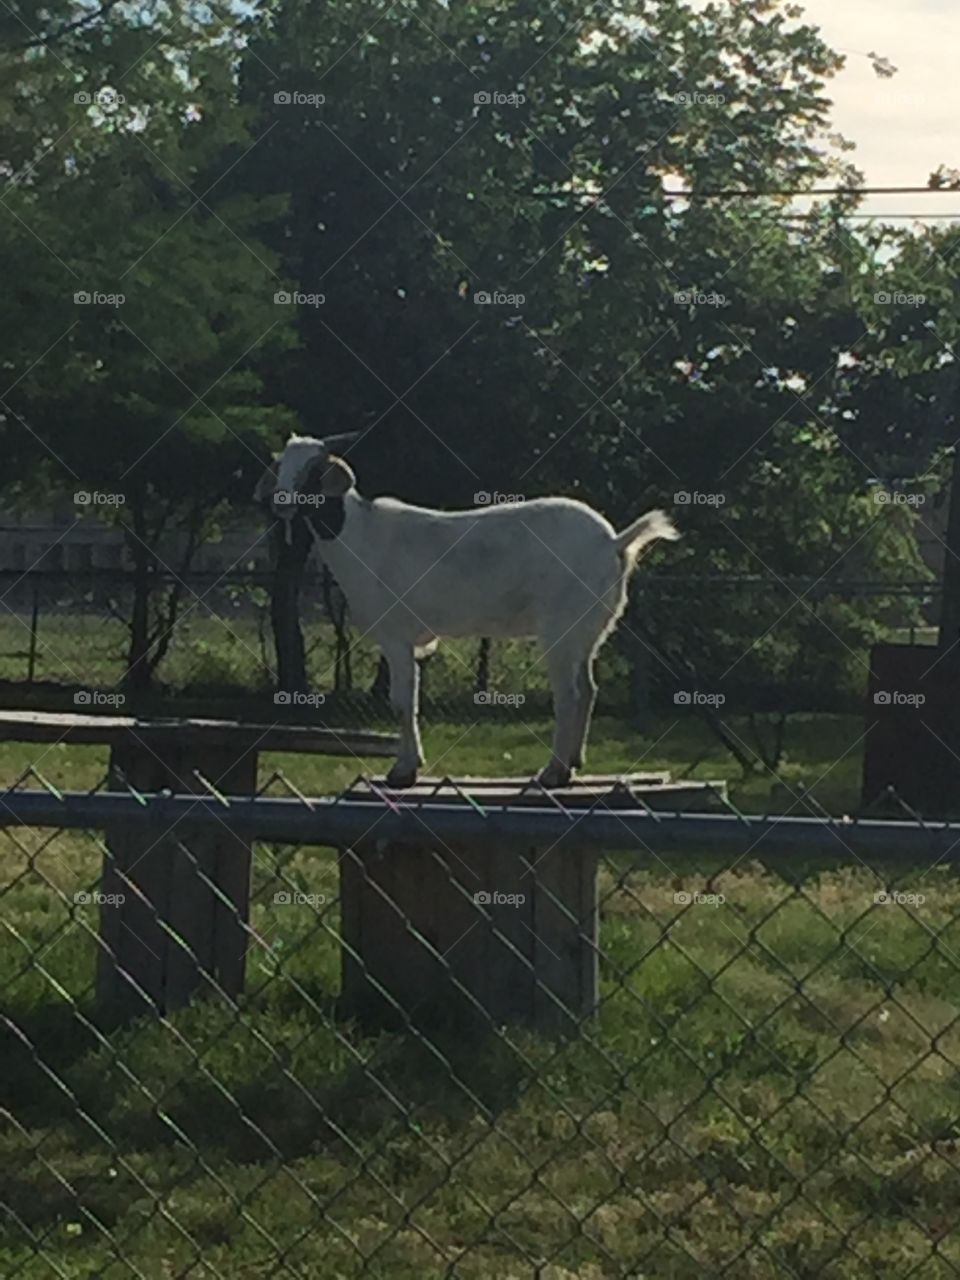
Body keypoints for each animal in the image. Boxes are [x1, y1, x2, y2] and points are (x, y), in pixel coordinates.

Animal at [260, 433, 680, 788]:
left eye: (313, 472)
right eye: (281, 466)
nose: (279, 501)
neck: (360, 537)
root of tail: (614, 542)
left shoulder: (396, 634)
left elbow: (402, 701)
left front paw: (403, 770)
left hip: (561, 626)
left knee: (570, 694)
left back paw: (554, 772)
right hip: (588, 628)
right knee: (589, 689)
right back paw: (574, 762)